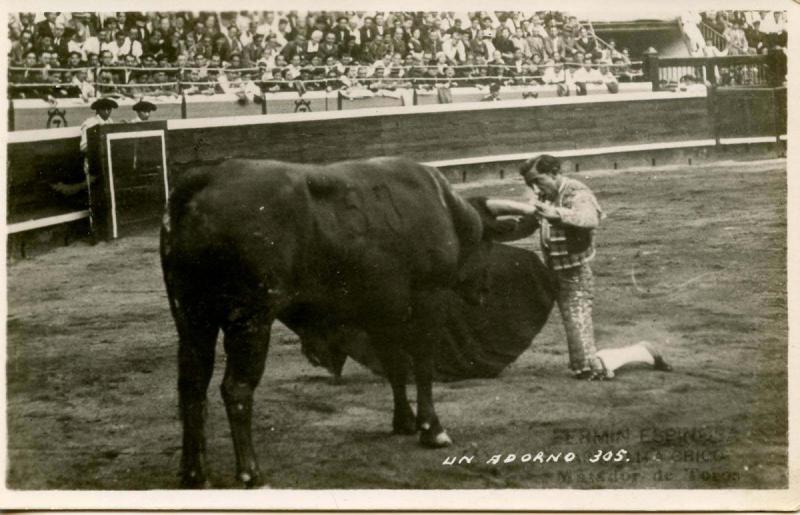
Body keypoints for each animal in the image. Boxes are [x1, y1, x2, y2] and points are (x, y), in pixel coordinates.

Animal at [162, 157, 556, 488]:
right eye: (487, 243)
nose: (484, 290)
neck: (448, 214)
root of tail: (202, 182)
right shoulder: (427, 300)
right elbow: (422, 363)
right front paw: (432, 430)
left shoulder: (380, 311)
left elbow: (395, 365)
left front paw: (404, 422)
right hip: (250, 318)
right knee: (236, 389)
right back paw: (251, 474)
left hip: (191, 317)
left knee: (191, 386)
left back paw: (195, 474)